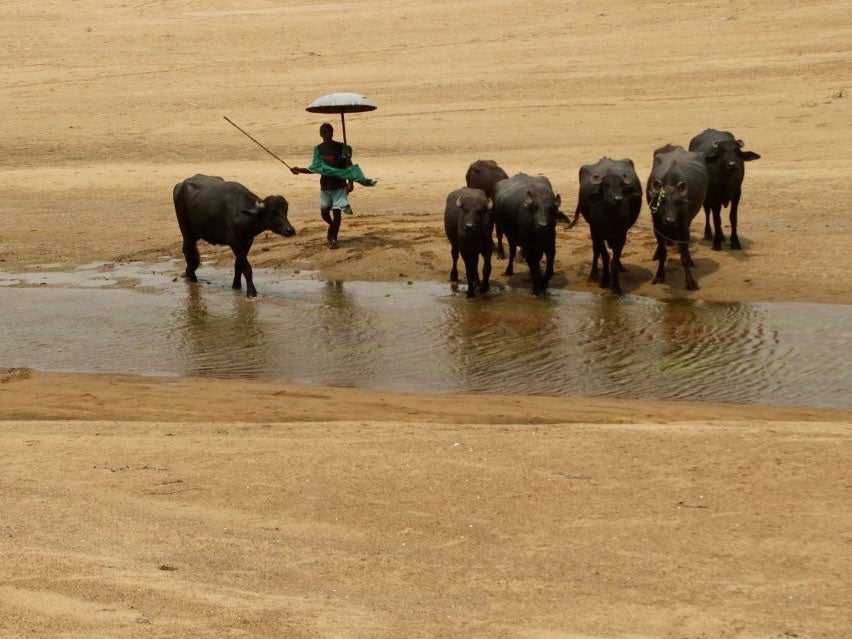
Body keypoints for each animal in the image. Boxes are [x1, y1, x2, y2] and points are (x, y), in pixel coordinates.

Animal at [572, 156, 640, 296]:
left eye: (621, 185)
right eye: (606, 185)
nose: (618, 199)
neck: (610, 217)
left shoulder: (621, 234)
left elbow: (614, 260)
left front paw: (616, 287)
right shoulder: (597, 232)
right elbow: (604, 256)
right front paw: (605, 280)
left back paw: (621, 267)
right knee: (595, 250)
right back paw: (593, 273)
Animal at [648, 146, 708, 292]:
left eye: (677, 202)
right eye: (662, 202)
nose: (669, 220)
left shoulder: (683, 227)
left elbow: (685, 256)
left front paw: (690, 281)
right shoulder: (658, 228)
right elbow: (663, 253)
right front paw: (659, 276)